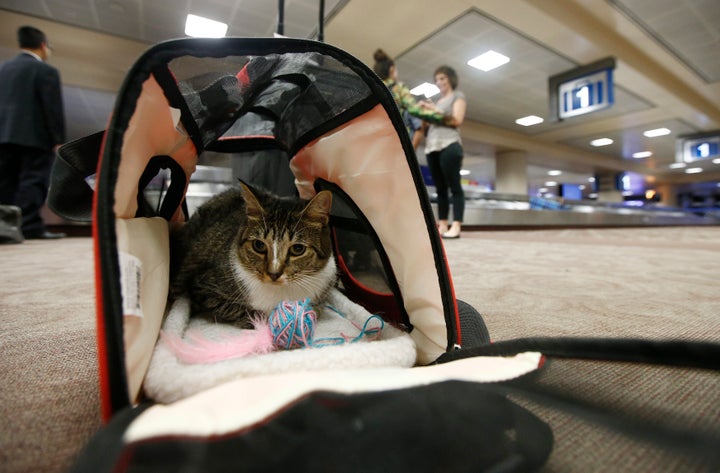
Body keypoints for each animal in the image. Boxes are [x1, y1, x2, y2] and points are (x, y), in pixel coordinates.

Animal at [170, 179, 336, 326]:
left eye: (298, 249)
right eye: (259, 245)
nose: (274, 274)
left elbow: (318, 307)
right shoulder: (201, 286)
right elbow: (236, 308)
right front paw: (260, 320)